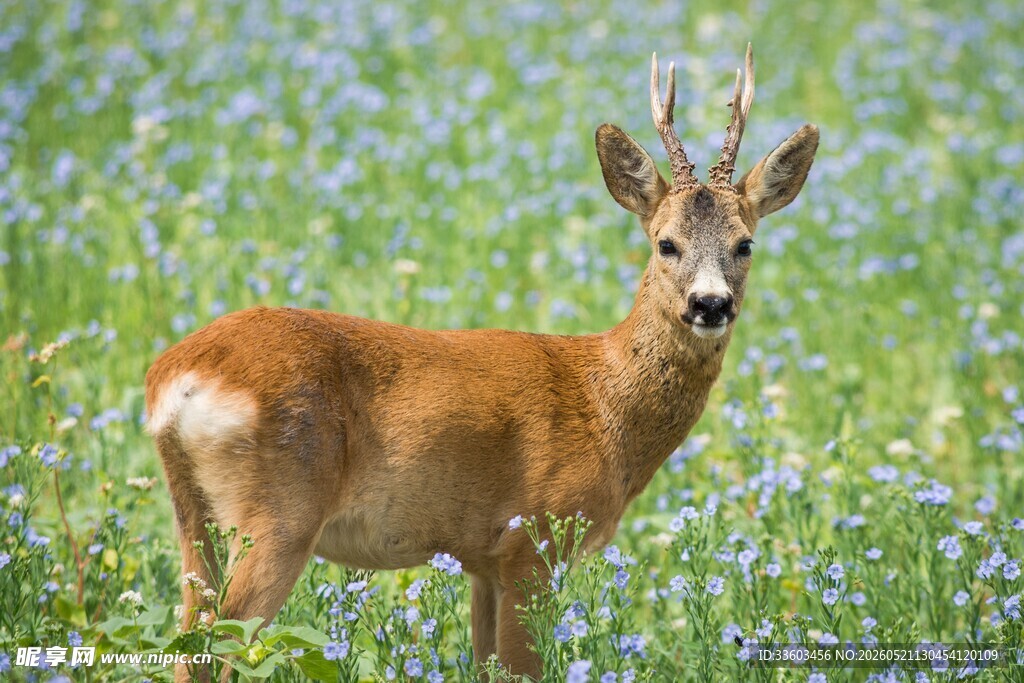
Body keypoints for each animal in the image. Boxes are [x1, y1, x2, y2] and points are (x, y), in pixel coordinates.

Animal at [145, 44, 818, 681]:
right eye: (666, 243)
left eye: (745, 244)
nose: (711, 304)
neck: (605, 406)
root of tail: (176, 377)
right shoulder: (533, 540)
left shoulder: (482, 561)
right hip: (280, 511)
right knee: (217, 646)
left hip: (194, 515)